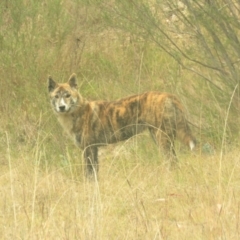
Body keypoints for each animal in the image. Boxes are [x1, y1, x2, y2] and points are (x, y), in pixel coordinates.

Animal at [47, 73, 196, 178]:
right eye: (56, 96)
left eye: (67, 95)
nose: (61, 107)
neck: (79, 111)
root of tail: (169, 95)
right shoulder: (93, 150)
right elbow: (94, 174)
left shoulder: (89, 148)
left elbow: (89, 174)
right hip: (159, 137)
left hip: (163, 138)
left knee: (173, 161)